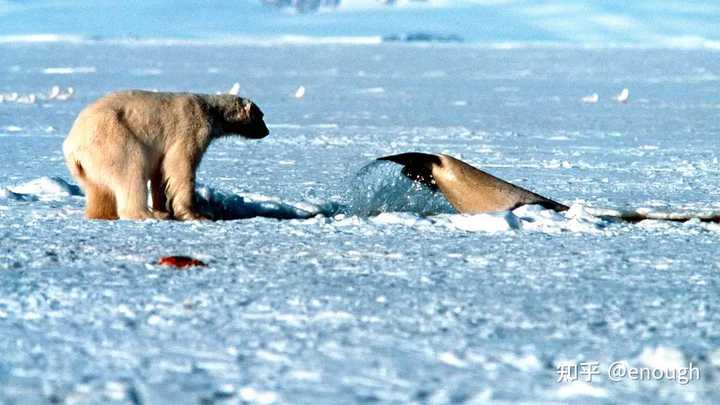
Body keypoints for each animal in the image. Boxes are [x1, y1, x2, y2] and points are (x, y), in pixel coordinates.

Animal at [62, 90, 268, 219]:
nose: (267, 132)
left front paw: (164, 205)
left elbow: (160, 172)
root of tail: (72, 146)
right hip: (112, 140)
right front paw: (197, 214)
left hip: (88, 166)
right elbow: (180, 164)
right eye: (261, 116)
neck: (212, 110)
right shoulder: (192, 127)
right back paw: (150, 214)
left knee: (98, 189)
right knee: (131, 170)